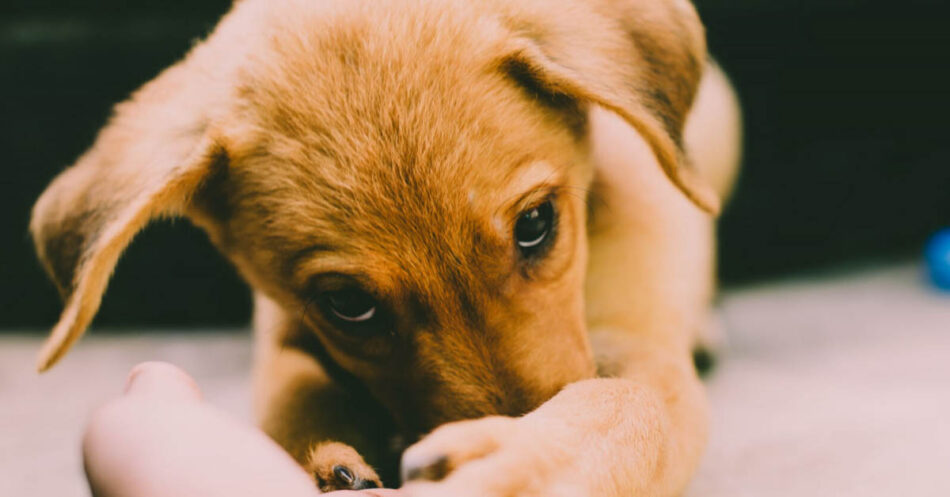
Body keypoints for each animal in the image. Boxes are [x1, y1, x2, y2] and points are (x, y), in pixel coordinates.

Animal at [29, 0, 744, 494]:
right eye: (348, 304)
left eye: (536, 223)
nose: (515, 420)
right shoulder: (288, 342)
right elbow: (298, 405)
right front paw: (331, 467)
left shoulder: (641, 338)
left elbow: (625, 401)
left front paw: (524, 464)